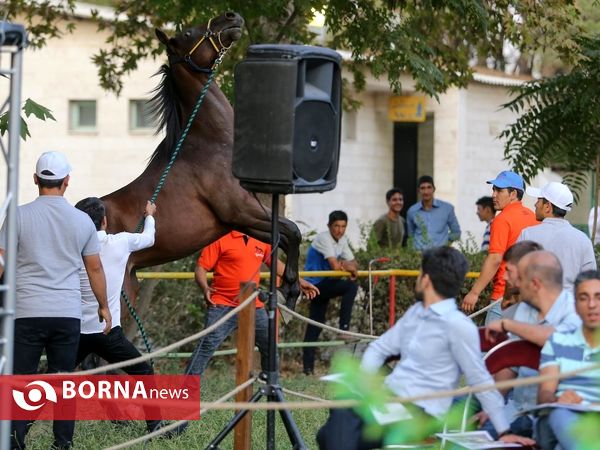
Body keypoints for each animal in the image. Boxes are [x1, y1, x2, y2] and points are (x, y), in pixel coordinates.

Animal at [102, 11, 304, 306]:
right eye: (187, 34)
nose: (231, 17)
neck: (212, 145)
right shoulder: (240, 210)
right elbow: (293, 232)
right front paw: (290, 287)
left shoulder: (240, 219)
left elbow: (285, 237)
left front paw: (291, 287)